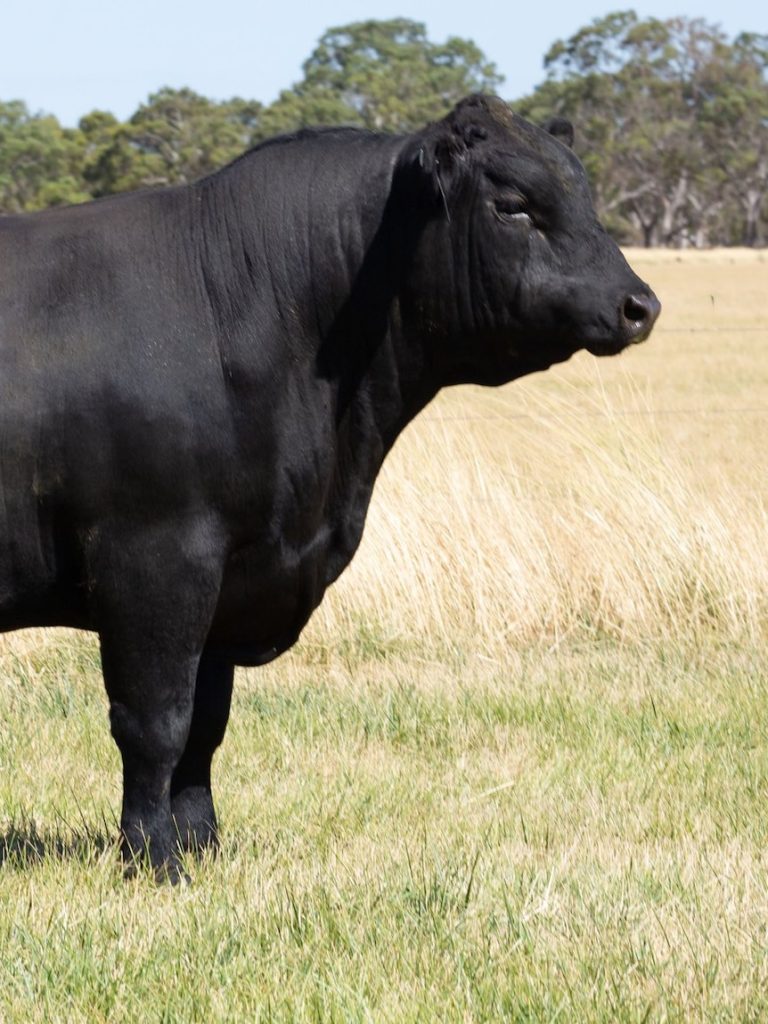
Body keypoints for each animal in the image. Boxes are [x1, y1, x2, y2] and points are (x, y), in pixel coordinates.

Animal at [0, 94, 660, 880]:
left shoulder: (237, 574)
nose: (639, 304)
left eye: (584, 193)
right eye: (512, 204)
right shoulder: (155, 558)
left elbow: (205, 726)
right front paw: (154, 858)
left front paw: (204, 846)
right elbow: (155, 723)